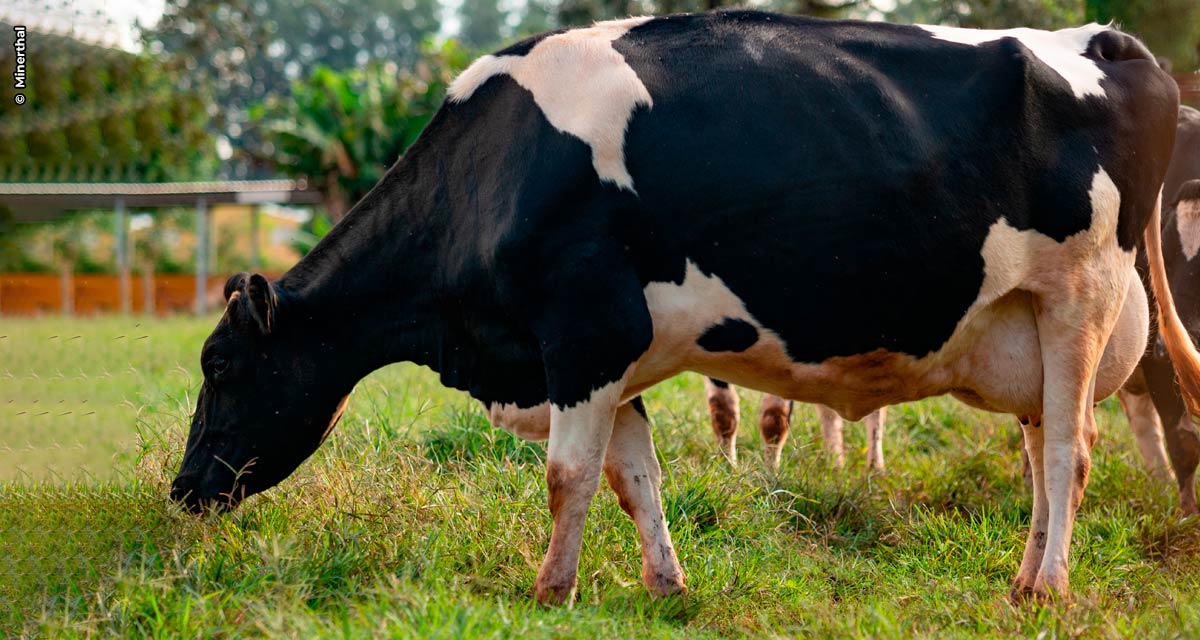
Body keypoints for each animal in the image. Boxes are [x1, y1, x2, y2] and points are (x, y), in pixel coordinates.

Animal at [171, 13, 1200, 602]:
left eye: (219, 365)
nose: (182, 491)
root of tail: (1101, 38)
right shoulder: (599, 357)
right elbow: (636, 478)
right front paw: (663, 584)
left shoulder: (586, 331)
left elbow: (567, 477)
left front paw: (548, 589)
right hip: (1029, 325)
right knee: (1045, 453)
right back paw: (1025, 574)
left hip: (1081, 301)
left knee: (1070, 452)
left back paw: (1048, 591)